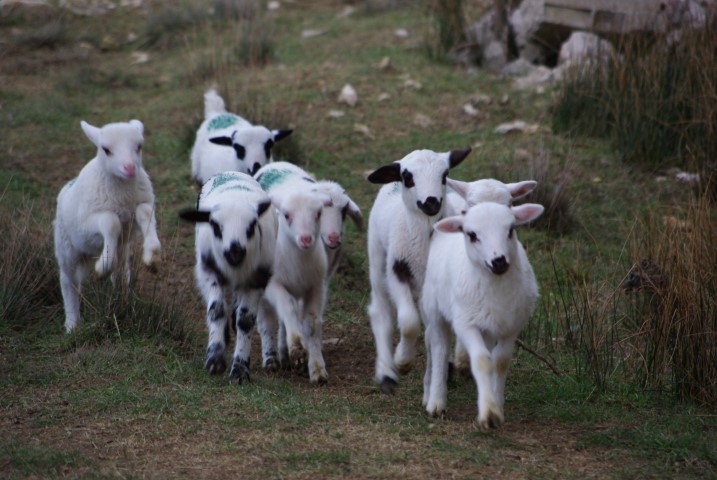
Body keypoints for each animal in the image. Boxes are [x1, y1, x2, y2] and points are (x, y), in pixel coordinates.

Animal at [179, 171, 280, 380]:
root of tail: (231, 172)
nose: (235, 251)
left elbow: (245, 320)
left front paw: (240, 369)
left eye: (252, 226)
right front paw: (215, 359)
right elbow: (216, 310)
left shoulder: (257, 278)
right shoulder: (208, 270)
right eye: (215, 227)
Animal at [255, 161, 336, 382]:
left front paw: (316, 368)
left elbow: (311, 324)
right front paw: (297, 347)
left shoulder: (316, 286)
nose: (306, 239)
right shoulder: (273, 284)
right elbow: (288, 309)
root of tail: (275, 163)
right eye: (287, 215)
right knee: (267, 321)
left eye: (318, 214)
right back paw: (272, 359)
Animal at [366, 147, 472, 394]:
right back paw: (386, 374)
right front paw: (403, 362)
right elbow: (408, 321)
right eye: (408, 177)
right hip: (377, 256)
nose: (431, 202)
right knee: (381, 311)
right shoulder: (397, 270)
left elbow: (434, 332)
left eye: (444, 175)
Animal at [420, 201, 544, 430]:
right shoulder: (466, 324)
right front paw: (489, 414)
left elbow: (500, 362)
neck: (496, 287)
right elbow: (481, 361)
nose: (499, 261)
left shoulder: (511, 327)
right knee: (439, 348)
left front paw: (497, 405)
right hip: (435, 310)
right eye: (472, 235)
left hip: (488, 325)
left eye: (511, 230)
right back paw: (435, 400)